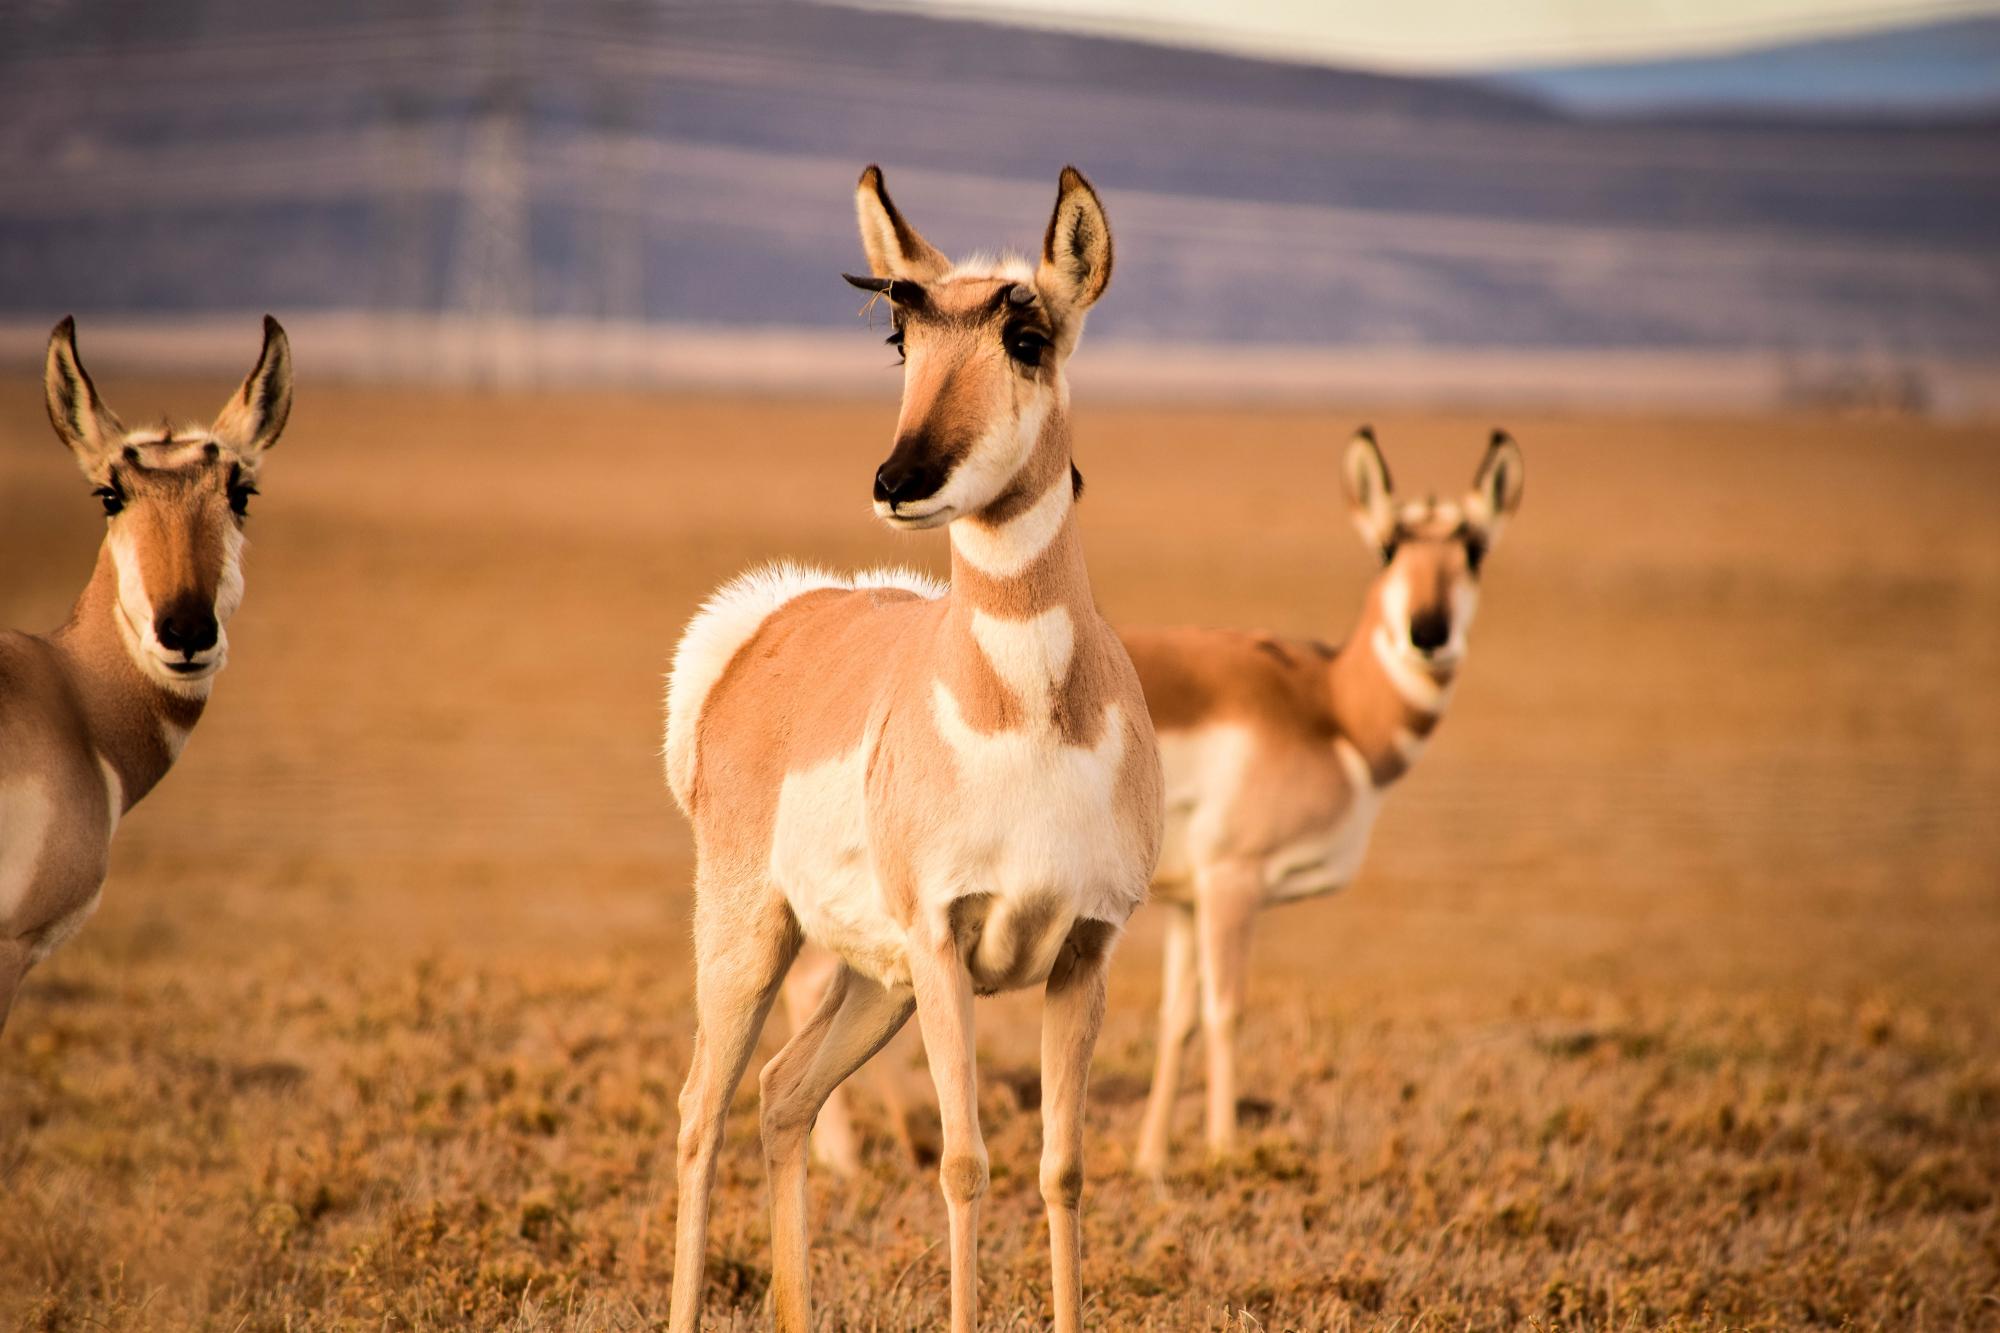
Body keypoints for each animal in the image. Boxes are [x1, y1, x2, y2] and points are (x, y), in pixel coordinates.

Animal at [660, 166, 1160, 1328]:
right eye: (901, 336)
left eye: (1027, 335)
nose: (899, 478)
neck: (1027, 715)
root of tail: (780, 616)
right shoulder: (943, 945)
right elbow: (963, 1164)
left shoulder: (1084, 953)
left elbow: (1062, 1169)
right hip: (755, 940)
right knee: (702, 1109)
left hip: (870, 982)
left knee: (781, 1093)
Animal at [1128, 426, 1528, 1176]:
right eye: (1389, 545)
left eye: (1474, 547)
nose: (1427, 631)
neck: (1329, 704)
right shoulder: (1233, 883)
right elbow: (1226, 1010)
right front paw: (1225, 1150)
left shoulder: (1186, 902)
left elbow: (1176, 1021)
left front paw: (1151, 1162)